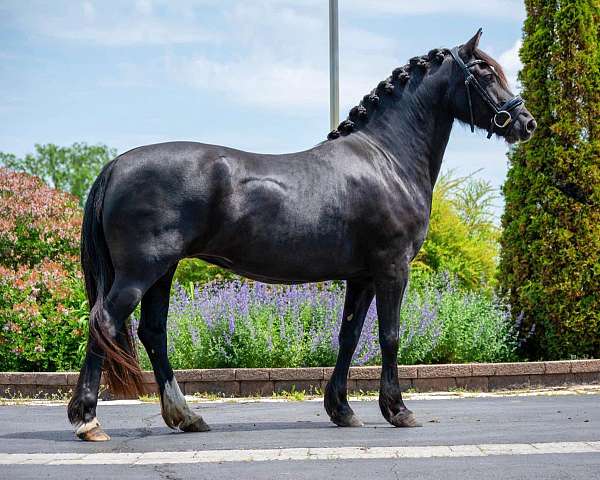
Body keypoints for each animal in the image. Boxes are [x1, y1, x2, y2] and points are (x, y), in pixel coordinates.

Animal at [69, 30, 536, 440]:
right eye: (484, 72)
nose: (525, 122)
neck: (386, 158)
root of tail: (117, 165)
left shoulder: (362, 276)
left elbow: (349, 336)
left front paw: (342, 410)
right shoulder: (392, 268)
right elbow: (389, 335)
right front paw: (398, 410)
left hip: (162, 272)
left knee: (153, 333)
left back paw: (186, 416)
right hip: (141, 272)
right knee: (106, 320)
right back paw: (89, 420)